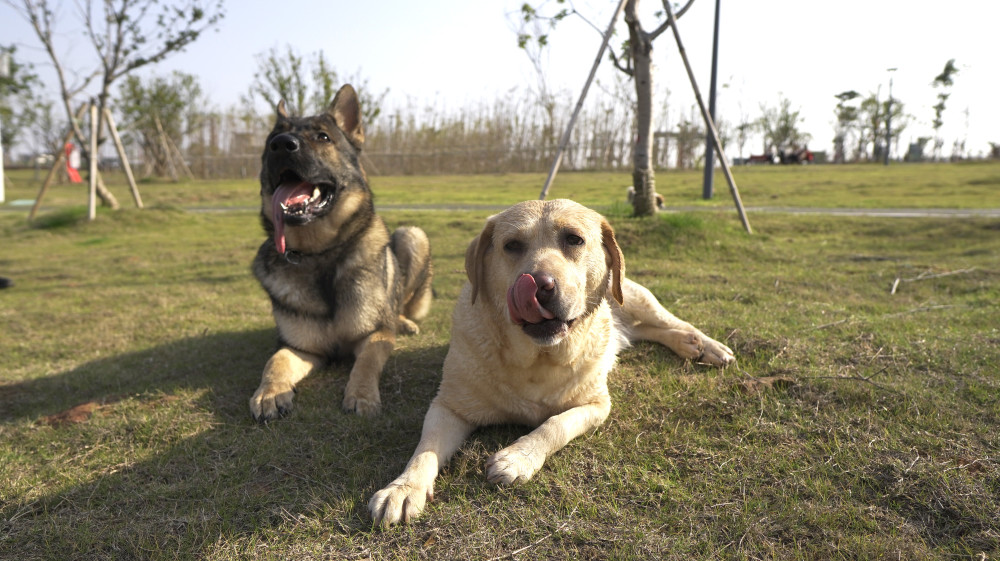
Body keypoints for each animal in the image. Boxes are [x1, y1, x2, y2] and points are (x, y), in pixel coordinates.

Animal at [248, 85, 432, 418]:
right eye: (272, 139)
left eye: (323, 137)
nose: (281, 145)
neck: (321, 253)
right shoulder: (303, 349)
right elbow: (275, 360)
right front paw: (269, 393)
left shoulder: (373, 336)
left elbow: (367, 360)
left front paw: (361, 395)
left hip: (413, 236)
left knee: (399, 303)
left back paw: (403, 321)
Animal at [368, 199, 736, 524]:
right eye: (512, 245)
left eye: (574, 239)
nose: (541, 286)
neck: (537, 359)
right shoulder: (448, 407)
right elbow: (425, 450)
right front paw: (403, 488)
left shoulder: (596, 405)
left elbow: (555, 424)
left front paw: (518, 457)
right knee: (648, 331)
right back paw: (689, 346)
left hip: (634, 297)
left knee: (671, 321)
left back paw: (707, 346)